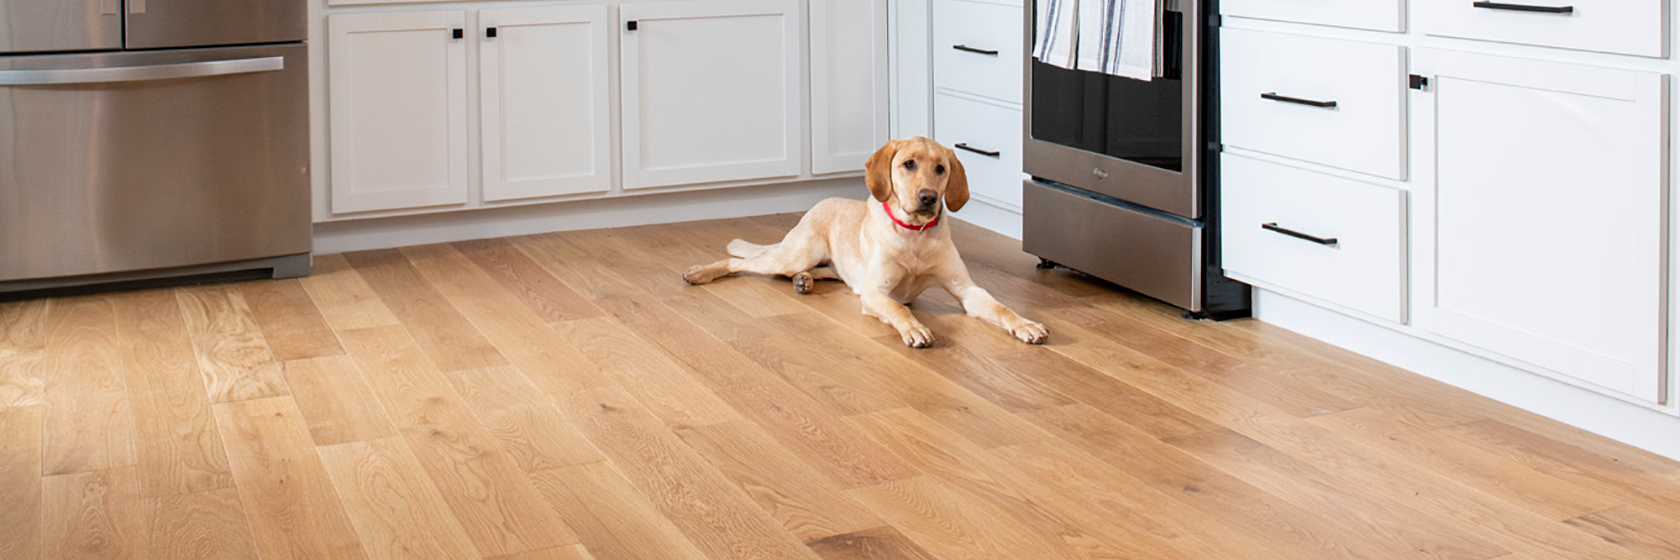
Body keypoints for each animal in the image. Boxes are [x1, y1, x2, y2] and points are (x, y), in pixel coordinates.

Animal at [675, 135, 1041, 346]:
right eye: (908, 164)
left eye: (941, 168)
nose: (928, 198)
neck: (915, 236)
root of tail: (818, 204)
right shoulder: (875, 292)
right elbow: (897, 307)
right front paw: (915, 329)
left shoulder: (967, 290)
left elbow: (1001, 307)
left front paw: (1027, 324)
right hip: (794, 254)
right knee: (740, 261)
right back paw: (700, 272)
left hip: (825, 266)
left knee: (822, 272)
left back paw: (804, 281)